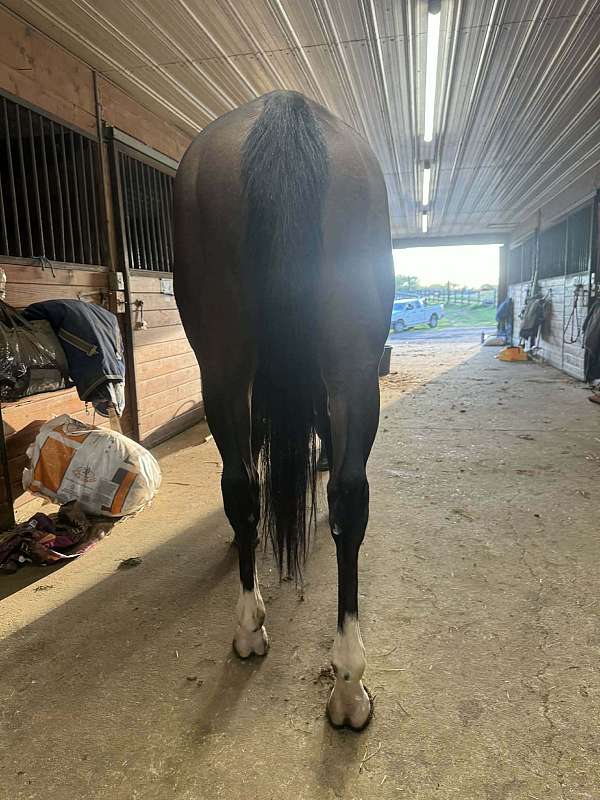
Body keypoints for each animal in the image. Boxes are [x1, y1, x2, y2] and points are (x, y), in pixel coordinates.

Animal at [173, 90, 394, 730]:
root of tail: (283, 110)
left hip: (222, 366)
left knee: (242, 485)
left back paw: (249, 628)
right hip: (352, 365)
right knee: (350, 496)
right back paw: (348, 684)